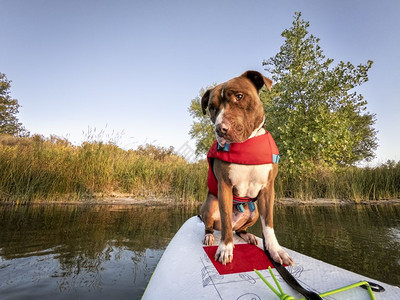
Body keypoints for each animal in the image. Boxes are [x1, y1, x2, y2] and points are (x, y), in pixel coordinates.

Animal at [200, 71, 294, 266]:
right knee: (214, 226)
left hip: (254, 212)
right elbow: (226, 220)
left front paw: (275, 250)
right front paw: (225, 248)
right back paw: (209, 236)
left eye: (239, 96)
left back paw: (247, 235)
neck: (246, 145)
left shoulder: (268, 189)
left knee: (239, 229)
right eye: (212, 107)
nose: (220, 129)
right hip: (210, 204)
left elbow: (269, 224)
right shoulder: (224, 187)